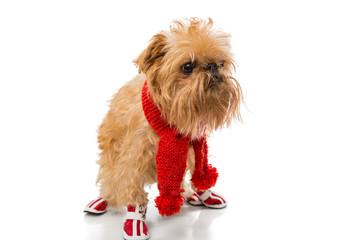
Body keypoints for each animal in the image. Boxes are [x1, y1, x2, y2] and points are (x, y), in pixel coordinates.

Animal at [84, 17, 242, 239]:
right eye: (187, 66)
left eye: (221, 63)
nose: (212, 67)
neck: (172, 120)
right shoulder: (134, 160)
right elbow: (133, 192)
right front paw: (135, 222)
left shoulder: (193, 145)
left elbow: (199, 169)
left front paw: (205, 193)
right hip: (111, 153)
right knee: (110, 178)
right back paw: (102, 200)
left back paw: (190, 194)